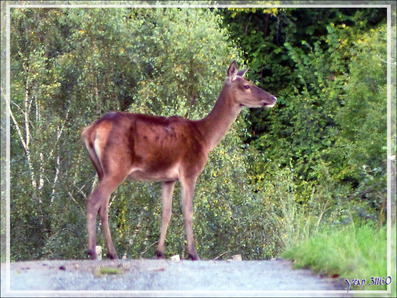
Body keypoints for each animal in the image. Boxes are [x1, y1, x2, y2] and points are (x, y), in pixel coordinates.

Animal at [82, 59, 276, 260]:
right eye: (246, 85)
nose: (273, 98)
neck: (206, 137)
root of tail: (90, 131)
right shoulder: (189, 171)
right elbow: (188, 212)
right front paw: (193, 253)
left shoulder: (168, 179)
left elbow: (166, 213)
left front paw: (160, 252)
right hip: (117, 167)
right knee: (93, 201)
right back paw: (92, 251)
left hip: (102, 170)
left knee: (103, 207)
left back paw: (112, 253)